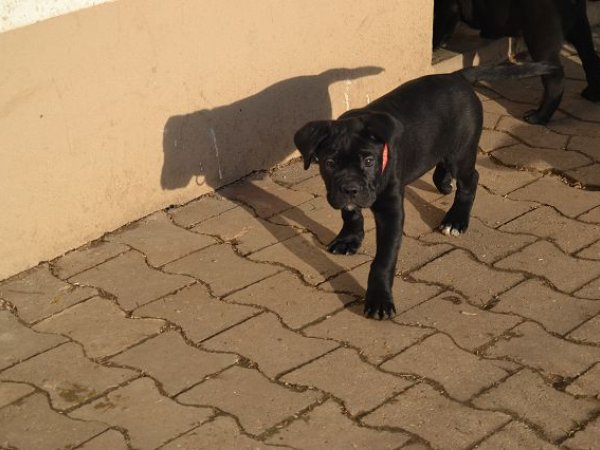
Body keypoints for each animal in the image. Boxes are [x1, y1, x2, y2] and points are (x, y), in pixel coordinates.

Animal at [294, 63, 556, 319]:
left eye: (369, 161)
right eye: (329, 163)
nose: (350, 189)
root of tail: (457, 76)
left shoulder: (391, 211)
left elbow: (383, 261)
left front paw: (379, 300)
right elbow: (350, 214)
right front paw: (349, 239)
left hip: (462, 151)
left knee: (470, 180)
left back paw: (456, 219)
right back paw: (442, 181)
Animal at [433, 0, 600, 124]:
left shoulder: (447, 7)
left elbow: (438, 26)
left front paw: (433, 47)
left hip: (541, 34)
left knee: (554, 77)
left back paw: (539, 116)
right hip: (579, 26)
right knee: (590, 58)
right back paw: (592, 94)